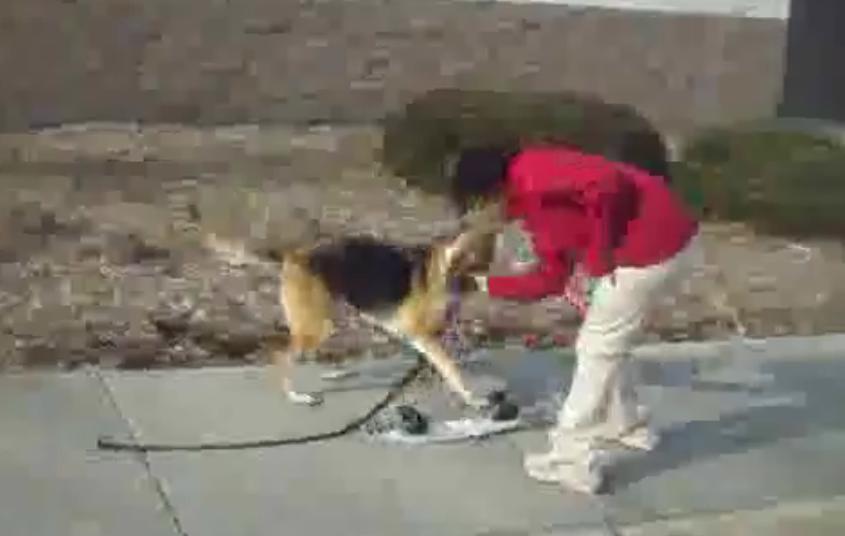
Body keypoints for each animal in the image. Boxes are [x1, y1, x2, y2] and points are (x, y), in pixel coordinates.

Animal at [203, 224, 502, 408]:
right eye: (474, 265)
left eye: (487, 261)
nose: (494, 284)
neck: (446, 273)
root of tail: (293, 256)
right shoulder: (420, 333)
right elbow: (451, 368)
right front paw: (471, 397)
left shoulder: (431, 334)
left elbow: (447, 358)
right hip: (318, 326)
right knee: (283, 358)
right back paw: (297, 396)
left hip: (330, 318)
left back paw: (336, 371)